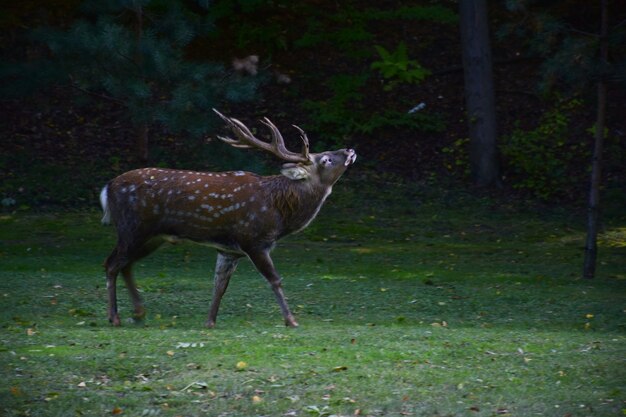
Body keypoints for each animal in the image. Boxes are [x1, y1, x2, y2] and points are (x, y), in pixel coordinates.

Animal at [99, 108, 354, 328]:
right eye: (325, 159)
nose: (349, 150)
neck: (279, 211)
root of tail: (107, 188)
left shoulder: (229, 249)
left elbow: (219, 285)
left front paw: (210, 321)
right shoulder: (254, 241)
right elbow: (275, 279)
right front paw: (291, 321)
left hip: (153, 237)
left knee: (126, 264)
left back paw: (139, 313)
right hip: (132, 228)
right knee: (111, 263)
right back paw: (114, 317)